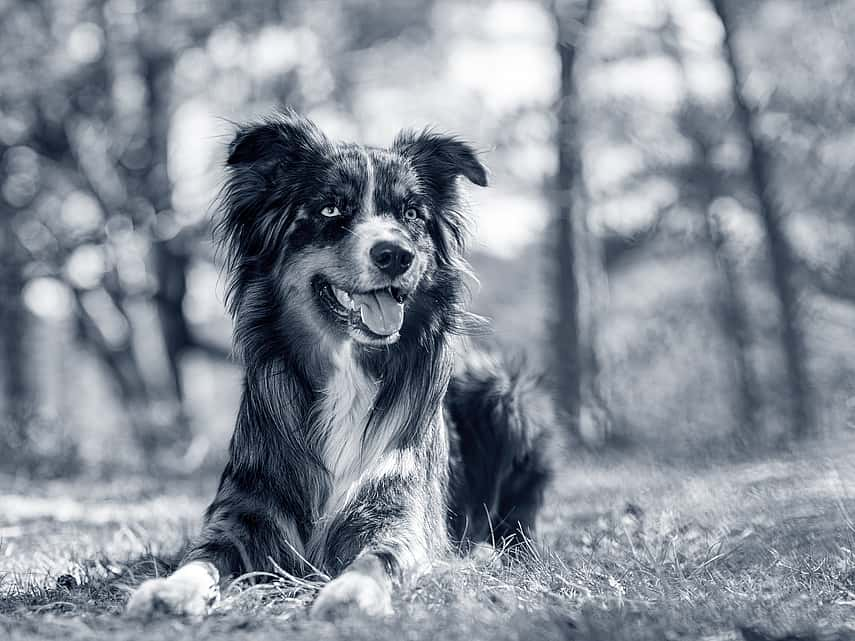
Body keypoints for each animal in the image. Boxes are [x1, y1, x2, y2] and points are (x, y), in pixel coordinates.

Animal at [127, 111, 556, 620]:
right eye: (331, 210)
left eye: (412, 214)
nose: (395, 255)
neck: (349, 371)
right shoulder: (244, 513)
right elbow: (201, 558)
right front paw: (171, 590)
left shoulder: (400, 517)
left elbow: (378, 557)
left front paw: (352, 591)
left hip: (503, 390)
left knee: (515, 527)